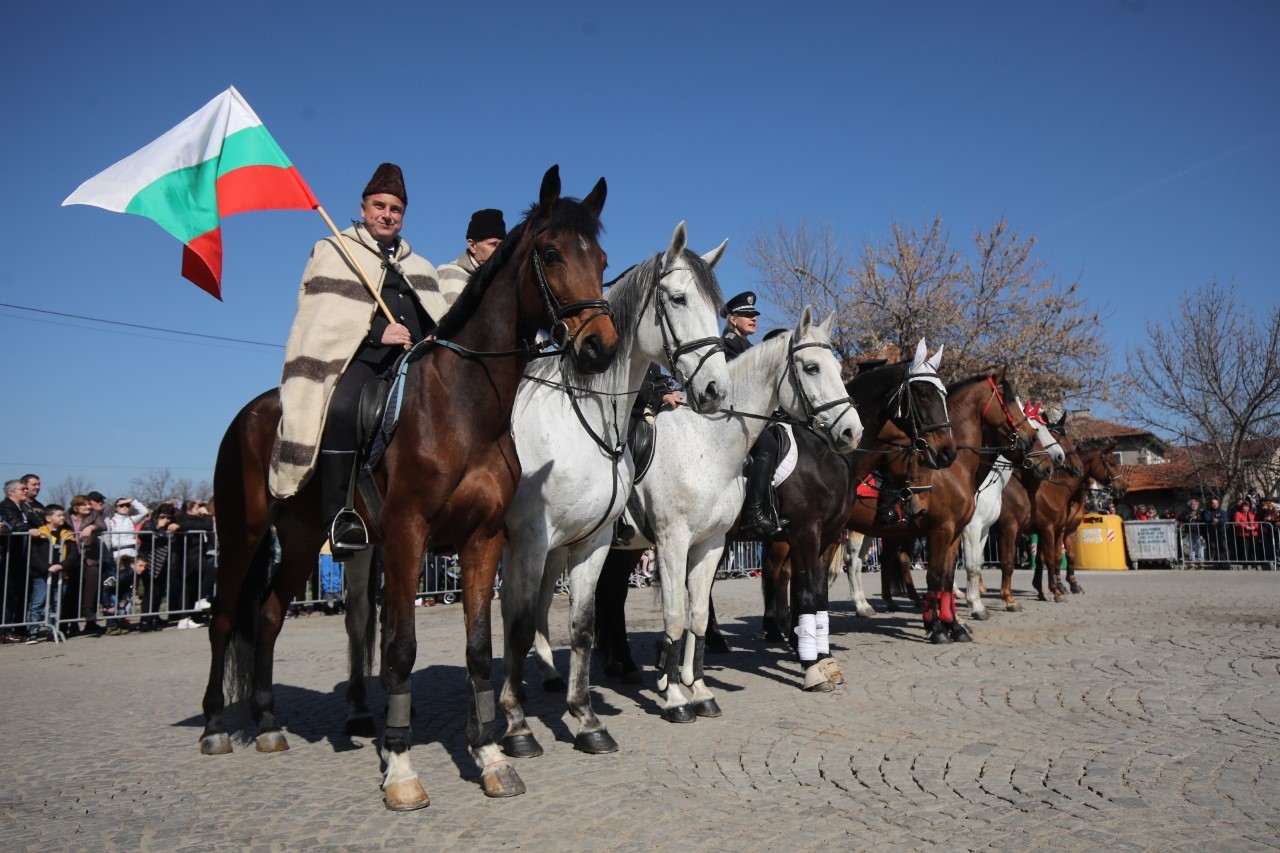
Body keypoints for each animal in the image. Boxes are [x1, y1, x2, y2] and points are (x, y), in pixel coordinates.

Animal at [195, 167, 619, 809]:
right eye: (550, 253)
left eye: (601, 257)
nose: (601, 347)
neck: (462, 406)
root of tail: (252, 411)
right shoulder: (405, 536)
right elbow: (399, 648)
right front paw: (399, 766)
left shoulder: (482, 540)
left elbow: (478, 649)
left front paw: (491, 756)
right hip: (243, 533)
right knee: (224, 619)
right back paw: (217, 726)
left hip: (302, 538)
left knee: (266, 616)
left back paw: (268, 723)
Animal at [494, 222, 727, 753]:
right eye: (679, 298)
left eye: (719, 308)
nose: (716, 390)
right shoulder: (532, 540)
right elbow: (519, 626)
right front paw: (516, 726)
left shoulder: (593, 540)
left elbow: (582, 625)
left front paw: (586, 720)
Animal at [611, 306, 860, 717]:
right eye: (811, 368)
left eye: (839, 369)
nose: (852, 432)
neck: (706, 444)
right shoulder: (677, 541)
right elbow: (804, 595)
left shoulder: (718, 541)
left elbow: (700, 611)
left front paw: (698, 690)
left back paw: (619, 665)